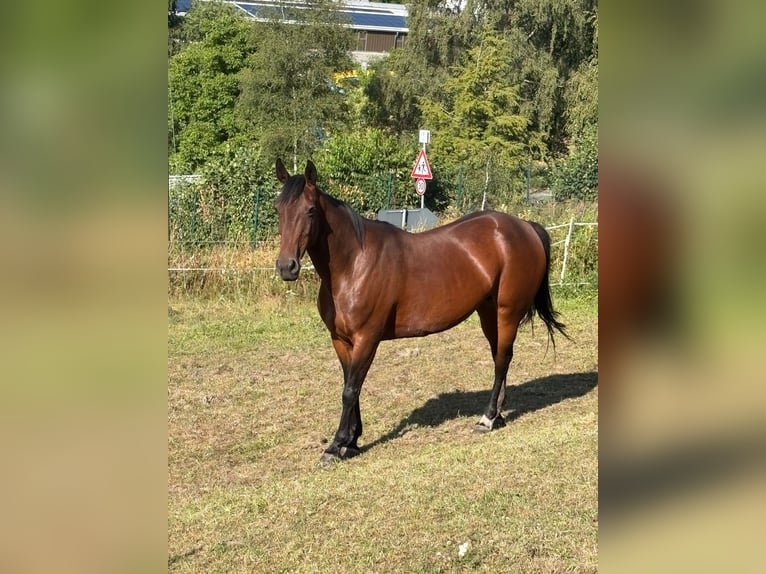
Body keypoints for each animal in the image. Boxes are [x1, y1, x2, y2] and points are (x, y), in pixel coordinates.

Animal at [275, 158, 568, 464]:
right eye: (277, 209)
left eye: (310, 210)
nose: (286, 267)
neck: (353, 264)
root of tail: (525, 227)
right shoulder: (341, 341)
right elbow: (350, 387)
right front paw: (352, 441)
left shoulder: (367, 339)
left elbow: (350, 390)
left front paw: (337, 445)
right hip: (488, 313)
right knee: (500, 356)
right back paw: (498, 415)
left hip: (506, 312)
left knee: (502, 359)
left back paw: (487, 418)